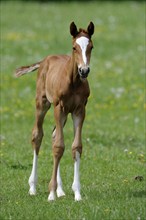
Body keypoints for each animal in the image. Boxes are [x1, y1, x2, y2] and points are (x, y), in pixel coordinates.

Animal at [15, 21, 94, 201]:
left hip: (64, 114)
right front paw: (51, 194)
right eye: (74, 47)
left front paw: (76, 193)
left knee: (53, 135)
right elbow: (58, 146)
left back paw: (60, 190)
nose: (84, 70)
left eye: (91, 47)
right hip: (43, 103)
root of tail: (45, 60)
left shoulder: (79, 110)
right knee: (37, 136)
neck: (73, 82)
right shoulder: (59, 107)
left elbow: (75, 146)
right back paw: (33, 187)